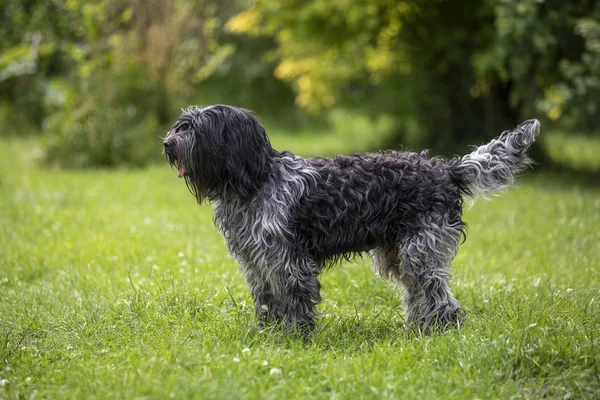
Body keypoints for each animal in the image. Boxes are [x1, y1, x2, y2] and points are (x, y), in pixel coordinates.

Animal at [162, 104, 540, 332]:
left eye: (196, 130)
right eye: (181, 126)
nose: (167, 143)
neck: (256, 181)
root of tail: (447, 170)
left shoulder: (287, 260)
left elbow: (294, 299)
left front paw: (295, 336)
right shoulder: (256, 262)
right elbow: (268, 300)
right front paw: (269, 332)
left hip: (421, 251)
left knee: (439, 297)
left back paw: (440, 331)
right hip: (400, 255)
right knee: (419, 295)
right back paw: (417, 328)